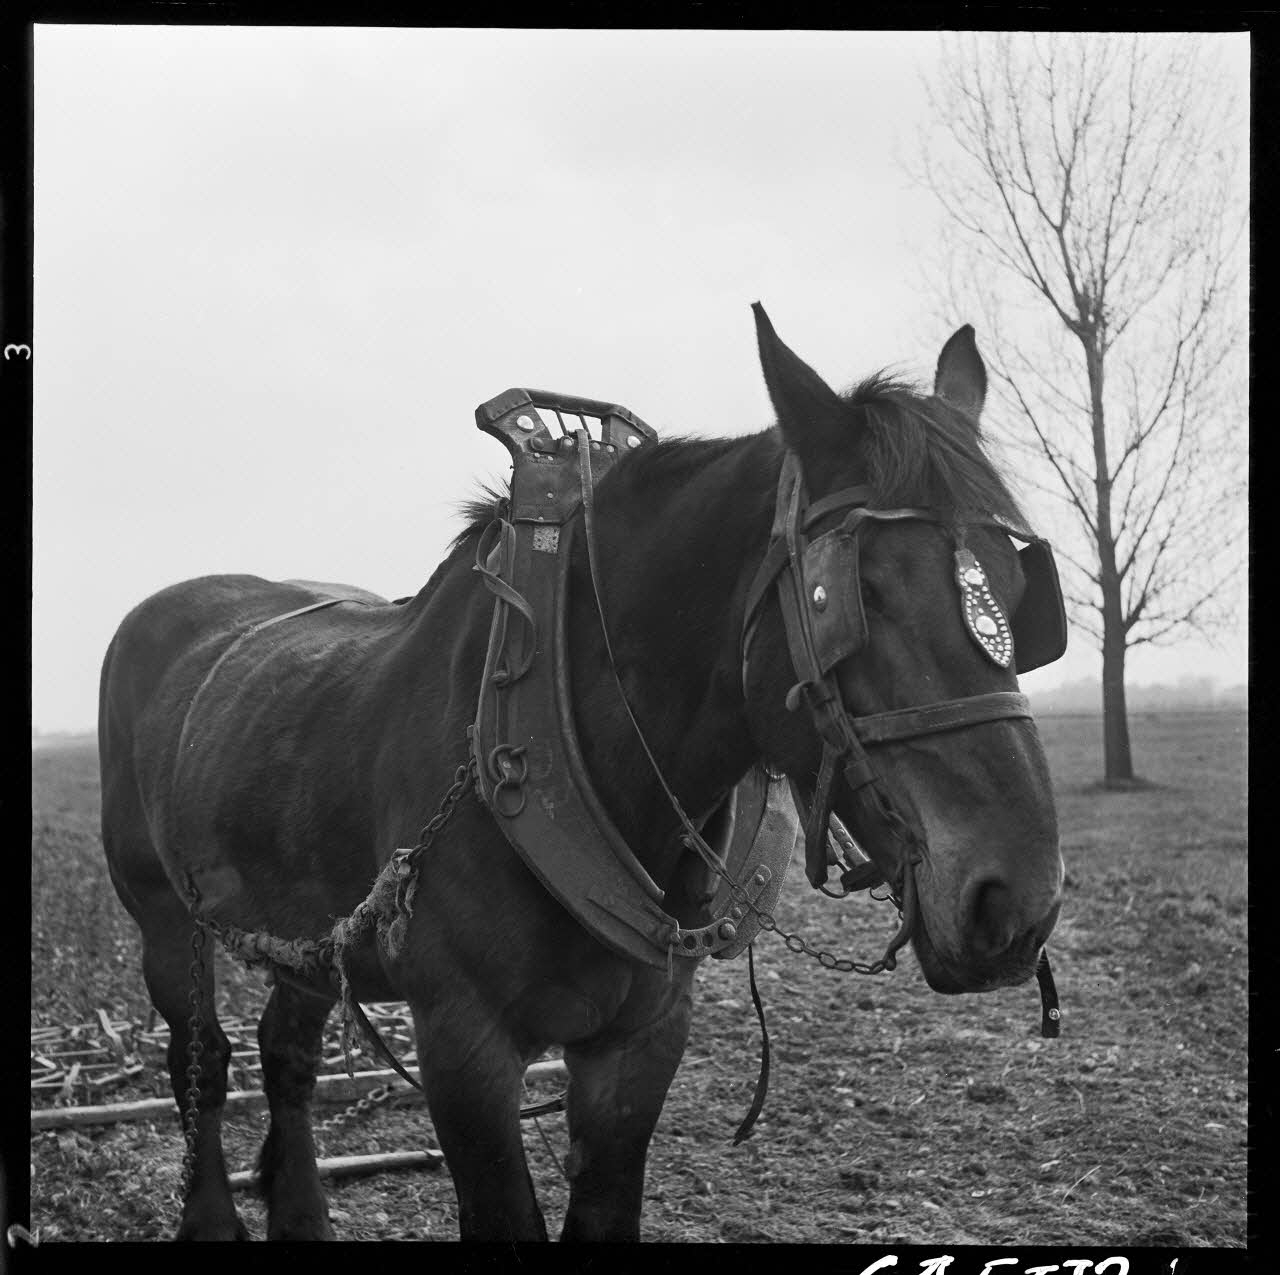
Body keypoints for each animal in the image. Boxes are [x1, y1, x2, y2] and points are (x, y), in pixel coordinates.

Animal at [97, 304, 1064, 1241]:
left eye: (1023, 595)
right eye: (861, 595)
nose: (1017, 900)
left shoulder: (640, 1040)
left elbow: (604, 1208)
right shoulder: (463, 1044)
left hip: (301, 924)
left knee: (285, 1052)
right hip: (163, 917)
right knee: (200, 1056)